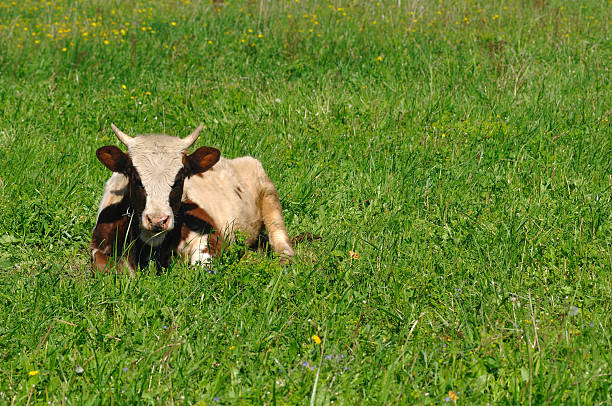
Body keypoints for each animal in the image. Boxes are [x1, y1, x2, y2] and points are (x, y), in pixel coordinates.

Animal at [89, 123, 296, 272]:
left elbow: (202, 266)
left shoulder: (211, 236)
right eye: (135, 177)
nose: (157, 220)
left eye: (180, 178)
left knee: (279, 237)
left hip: (268, 192)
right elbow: (105, 266)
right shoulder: (98, 244)